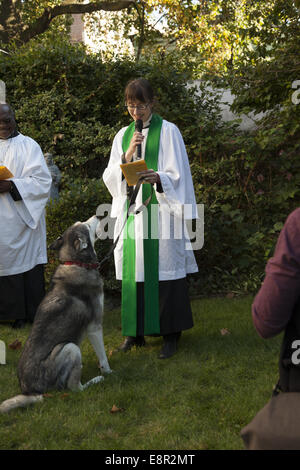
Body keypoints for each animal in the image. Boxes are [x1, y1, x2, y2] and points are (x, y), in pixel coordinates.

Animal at [0, 215, 111, 414]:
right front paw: (108, 372)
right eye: (87, 225)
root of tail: (31, 391)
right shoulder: (95, 326)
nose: (98, 216)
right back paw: (96, 380)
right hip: (70, 348)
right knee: (75, 388)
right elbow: (104, 357)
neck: (76, 263)